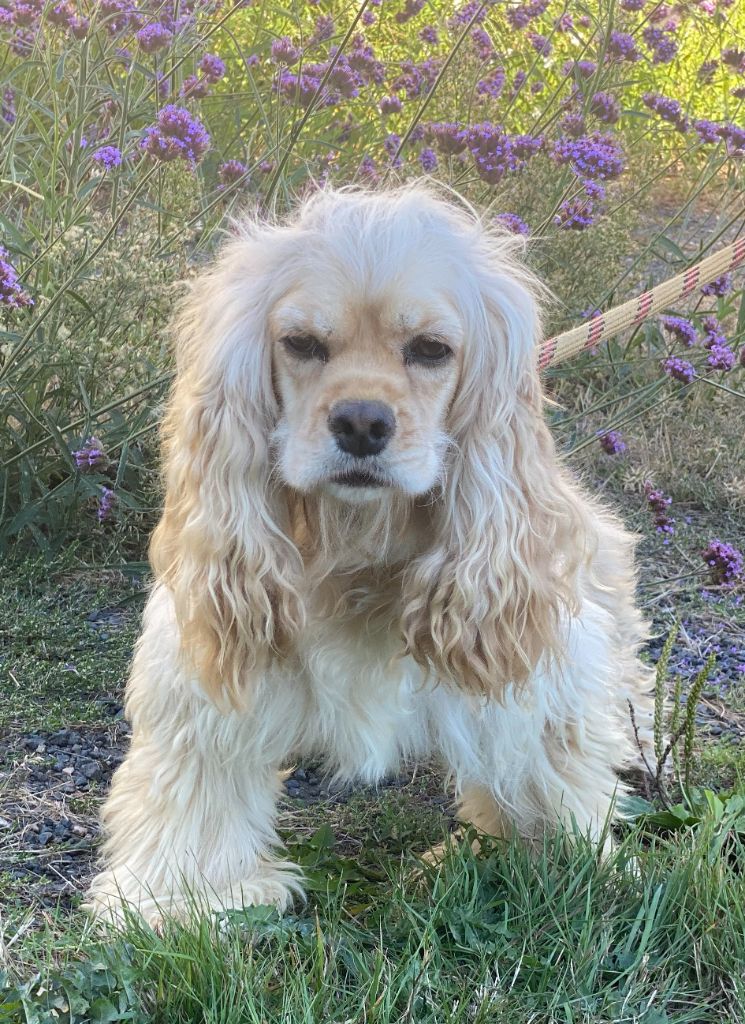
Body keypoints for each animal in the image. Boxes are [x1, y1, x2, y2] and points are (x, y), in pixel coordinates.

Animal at [88, 184, 650, 929]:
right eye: (301, 344)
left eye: (431, 349)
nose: (361, 422)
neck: (357, 538)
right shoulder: (211, 652)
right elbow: (197, 781)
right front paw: (187, 895)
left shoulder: (538, 653)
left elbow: (545, 759)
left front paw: (554, 856)